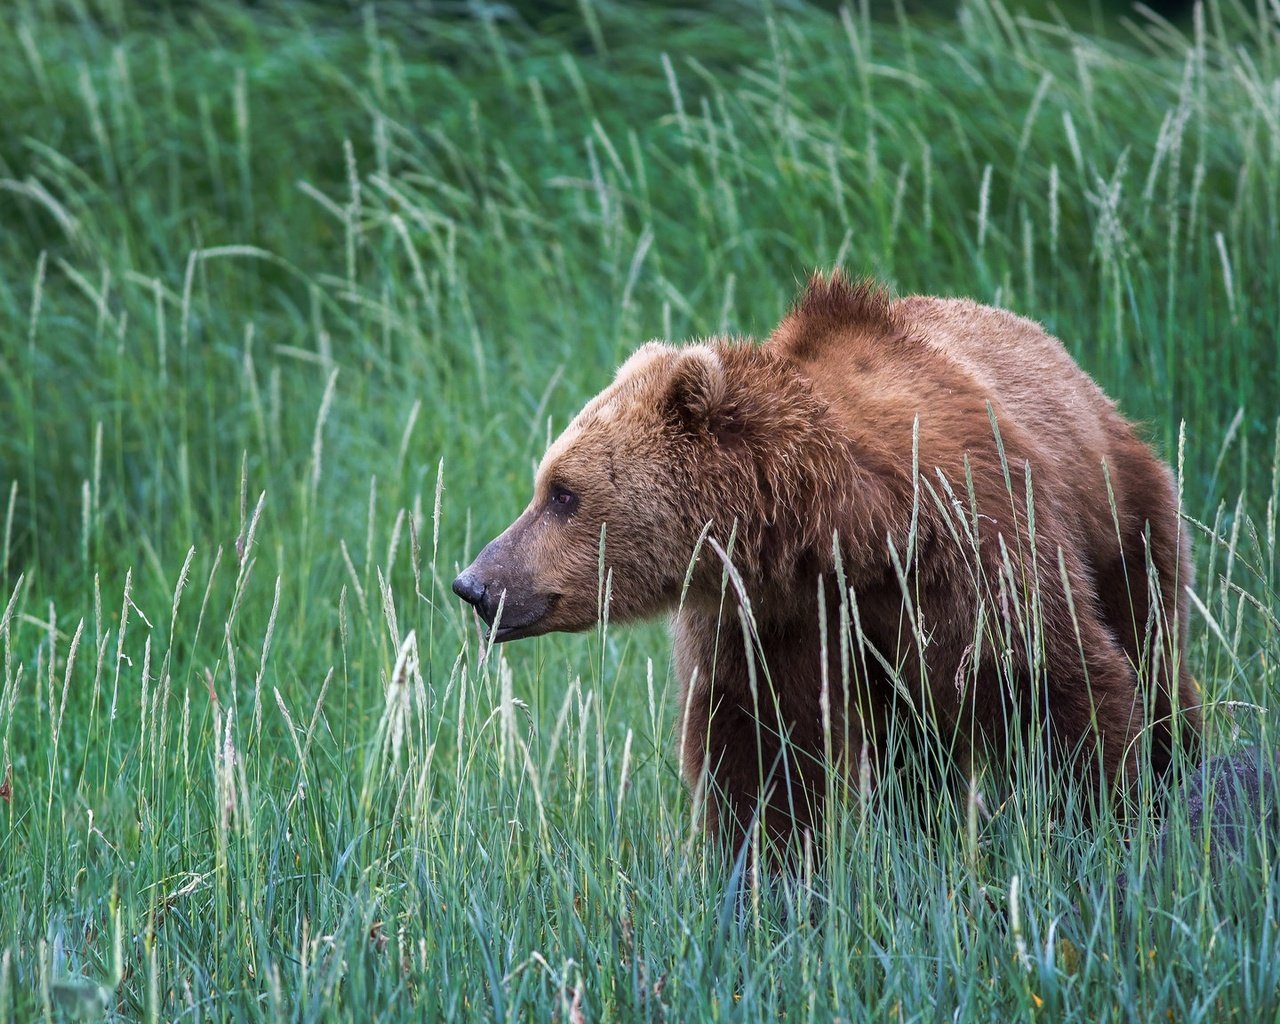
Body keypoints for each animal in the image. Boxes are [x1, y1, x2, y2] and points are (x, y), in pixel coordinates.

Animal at [450, 270, 1198, 849]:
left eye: (562, 493)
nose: (475, 583)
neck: (835, 531)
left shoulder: (968, 545)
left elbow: (1055, 682)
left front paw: (1102, 827)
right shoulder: (763, 615)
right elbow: (757, 751)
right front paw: (759, 884)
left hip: (1123, 517)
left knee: (1151, 649)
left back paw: (1182, 771)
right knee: (913, 751)